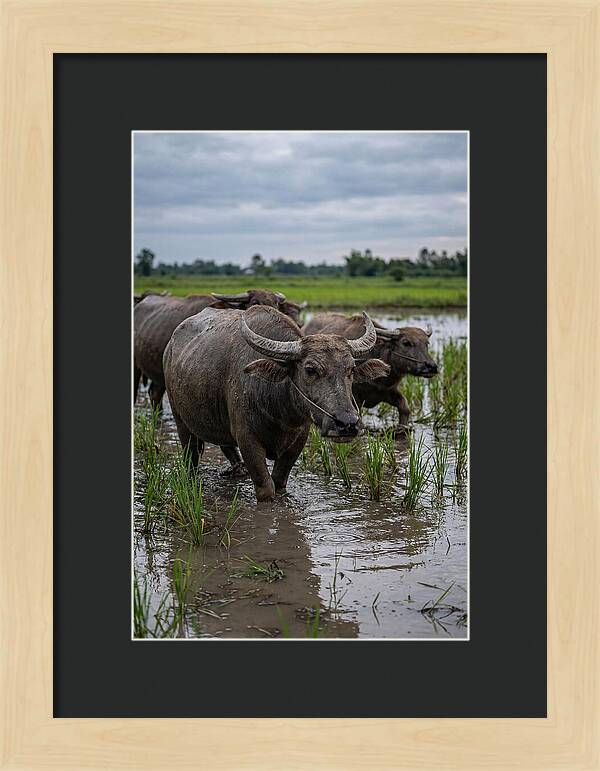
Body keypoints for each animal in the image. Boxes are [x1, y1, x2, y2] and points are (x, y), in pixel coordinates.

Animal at [163, 306, 390, 502]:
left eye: (351, 369)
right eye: (310, 370)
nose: (347, 423)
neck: (280, 411)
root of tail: (170, 347)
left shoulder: (298, 441)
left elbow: (279, 482)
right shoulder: (247, 440)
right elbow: (266, 489)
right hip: (180, 420)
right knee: (191, 457)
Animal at [304, 312, 438, 429]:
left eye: (427, 343)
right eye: (406, 342)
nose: (432, 366)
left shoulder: (388, 391)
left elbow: (405, 408)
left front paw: (402, 427)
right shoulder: (354, 397)